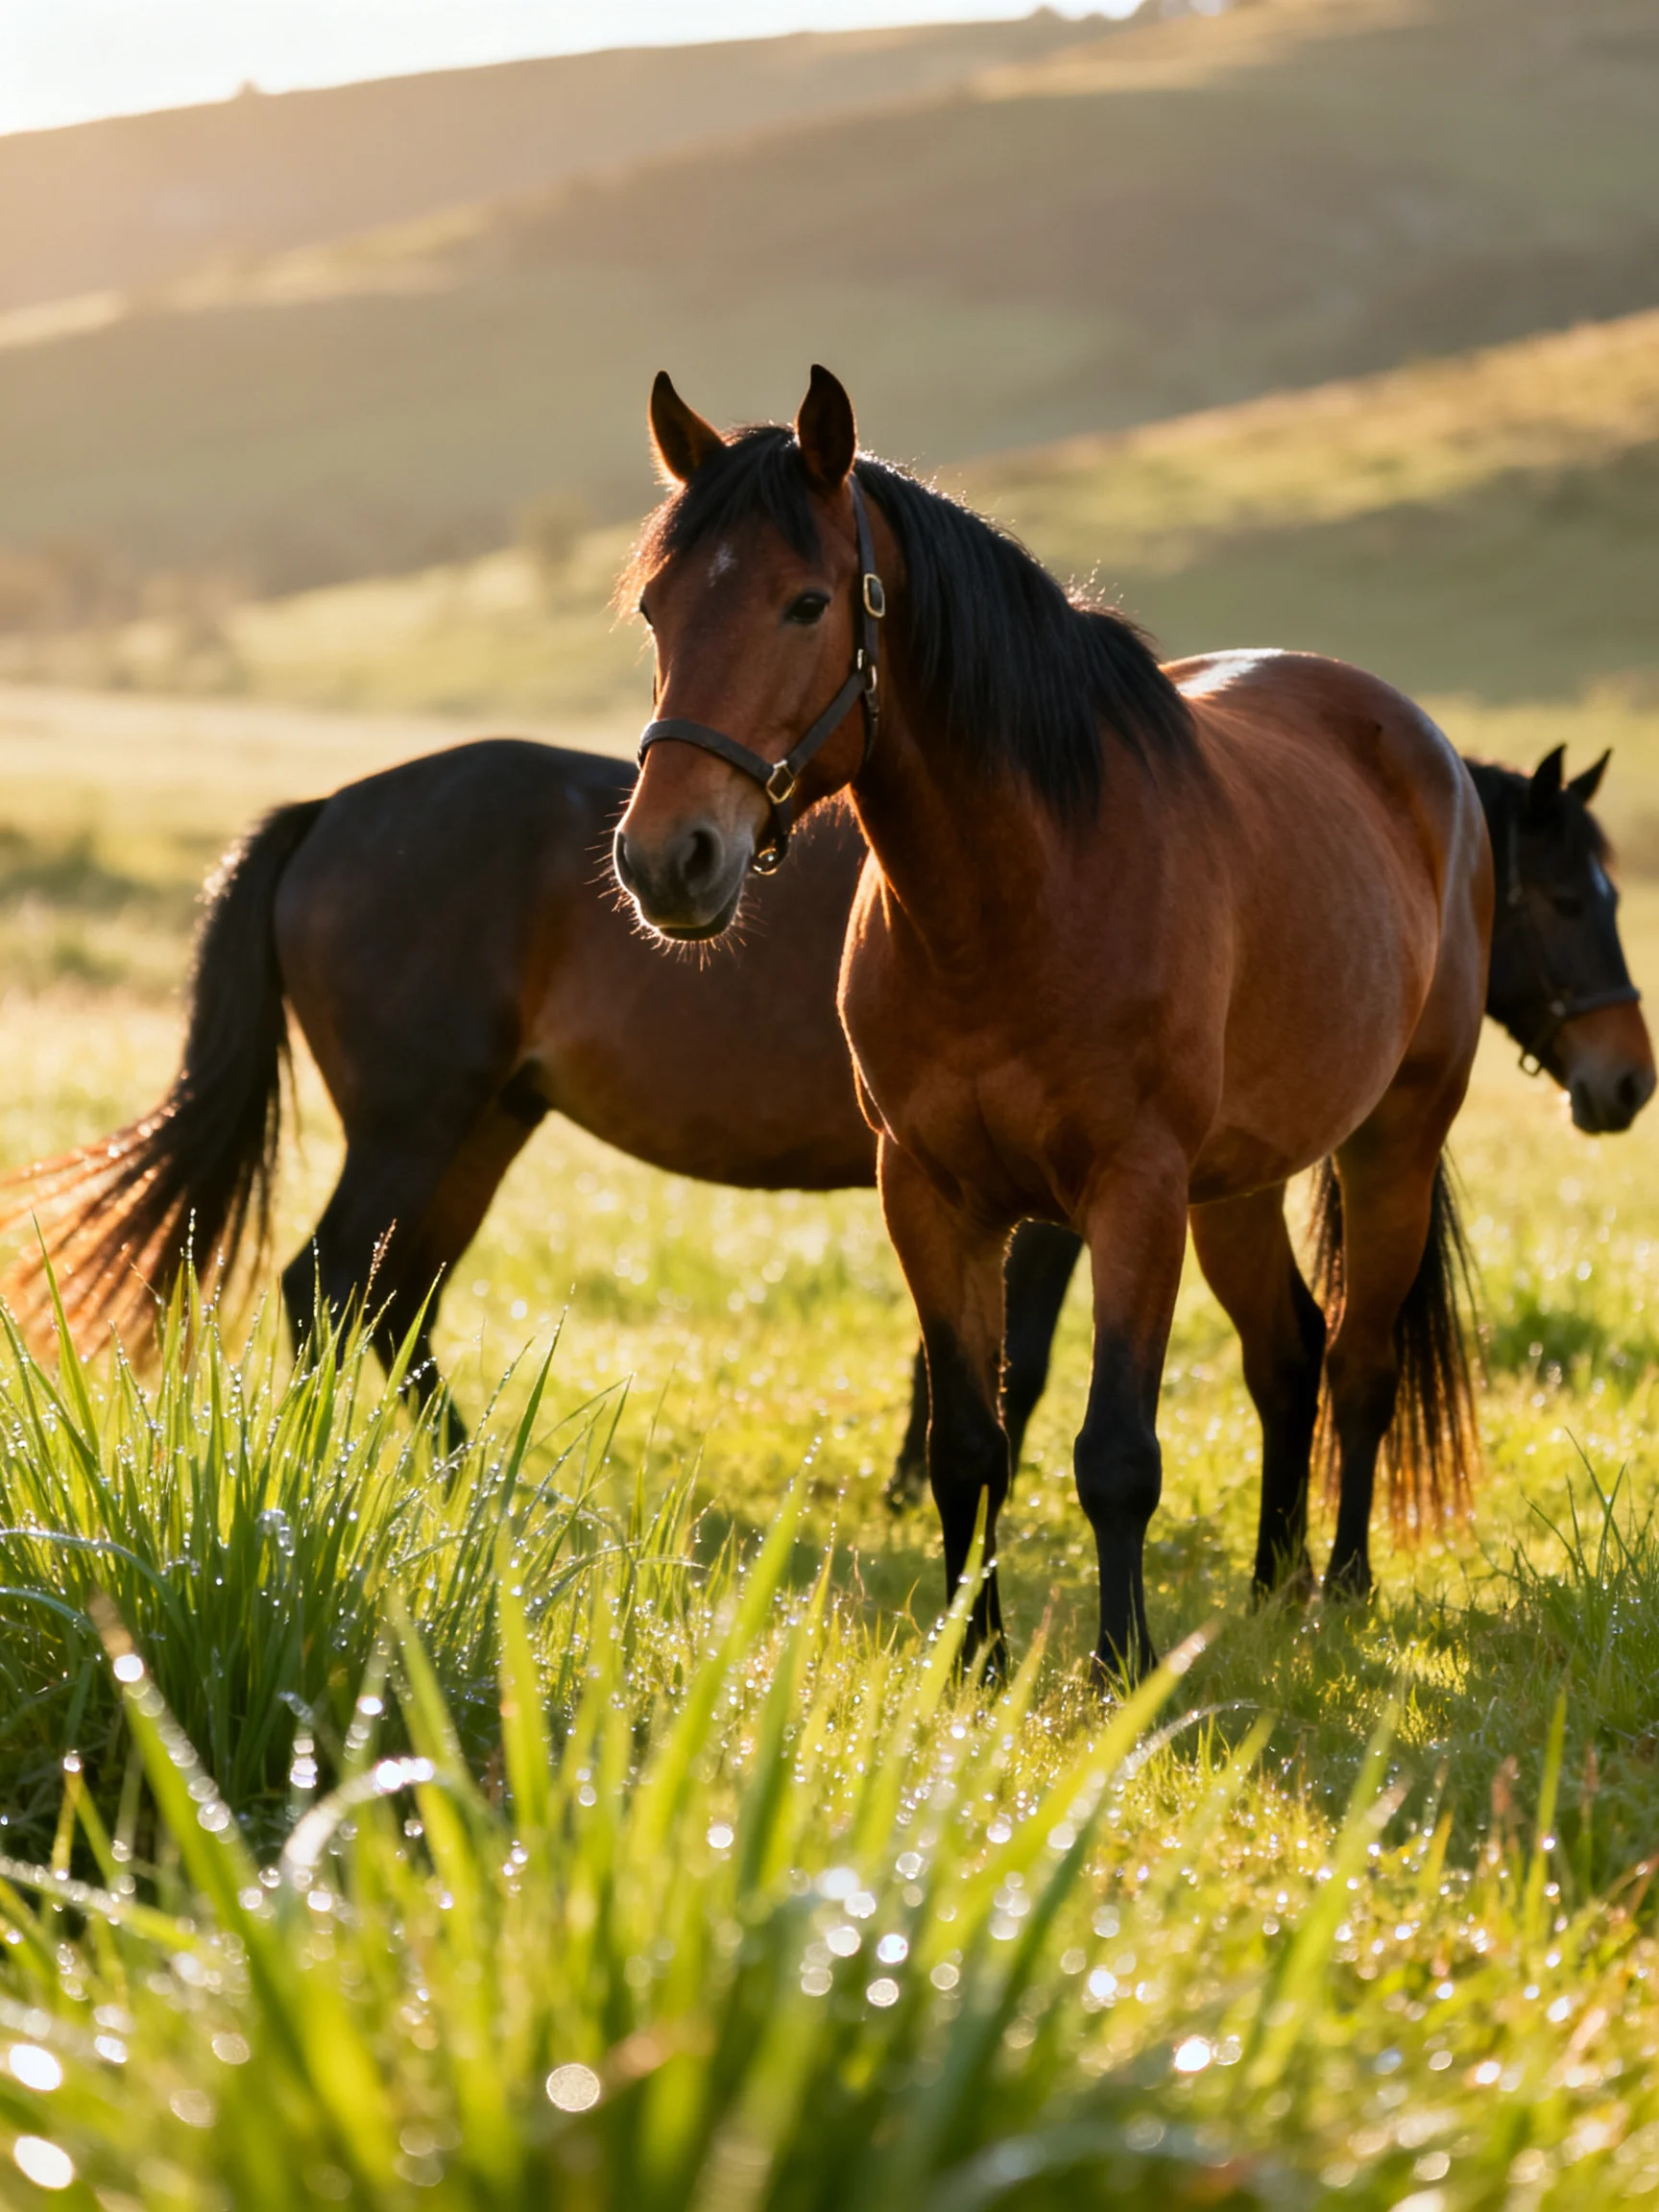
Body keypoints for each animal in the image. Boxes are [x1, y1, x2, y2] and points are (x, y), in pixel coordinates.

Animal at [612, 362, 1553, 1679]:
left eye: (806, 604)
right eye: (655, 609)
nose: (667, 859)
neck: (1018, 902)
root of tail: (1423, 749)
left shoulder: (1132, 1190)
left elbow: (1115, 1454)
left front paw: (1122, 1668)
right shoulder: (933, 1195)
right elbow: (968, 1444)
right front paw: (973, 1661)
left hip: (1393, 1145)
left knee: (1361, 1365)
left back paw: (1341, 1589)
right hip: (1241, 1184)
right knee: (1288, 1355)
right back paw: (1269, 1588)